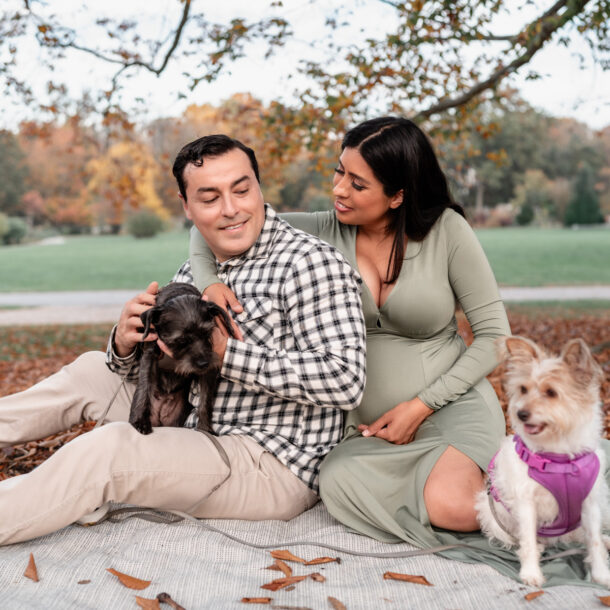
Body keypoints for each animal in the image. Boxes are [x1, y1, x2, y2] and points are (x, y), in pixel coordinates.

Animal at [127, 282, 234, 434]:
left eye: (207, 333)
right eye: (182, 340)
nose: (203, 363)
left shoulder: (210, 367)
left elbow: (206, 398)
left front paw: (205, 428)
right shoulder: (149, 355)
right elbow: (144, 385)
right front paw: (140, 420)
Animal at [476, 334, 608, 588]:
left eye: (551, 392)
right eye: (523, 389)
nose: (520, 414)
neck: (559, 460)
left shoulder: (590, 503)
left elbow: (594, 541)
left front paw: (601, 574)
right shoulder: (527, 503)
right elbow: (527, 539)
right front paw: (531, 573)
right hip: (490, 512)